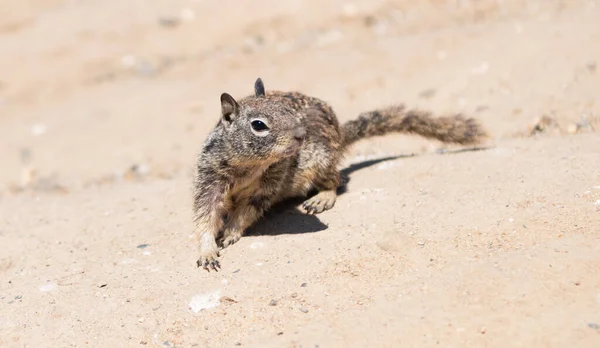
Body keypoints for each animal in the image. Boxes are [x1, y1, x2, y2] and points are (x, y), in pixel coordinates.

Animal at [195, 77, 486, 270]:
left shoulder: (270, 183)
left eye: (288, 110)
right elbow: (205, 217)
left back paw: (321, 198)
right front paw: (207, 251)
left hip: (318, 161)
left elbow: (247, 211)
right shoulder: (209, 178)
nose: (301, 134)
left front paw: (230, 232)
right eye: (258, 125)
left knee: (336, 179)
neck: (248, 166)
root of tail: (340, 134)